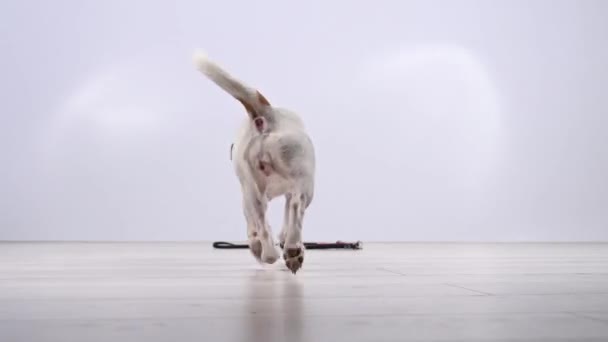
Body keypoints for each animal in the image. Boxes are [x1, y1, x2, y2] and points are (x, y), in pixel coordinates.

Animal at [194, 52, 318, 274]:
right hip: (304, 181)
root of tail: (267, 114)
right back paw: (291, 250)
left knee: (264, 222)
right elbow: (286, 219)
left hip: (252, 188)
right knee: (296, 207)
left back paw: (275, 252)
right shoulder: (290, 189)